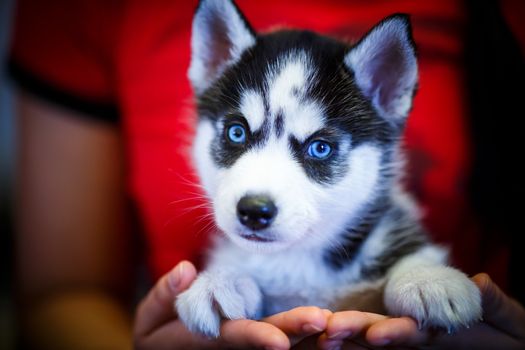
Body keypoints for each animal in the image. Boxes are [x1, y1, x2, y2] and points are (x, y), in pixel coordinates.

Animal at [175, 0, 478, 340]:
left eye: (320, 148)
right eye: (236, 132)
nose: (254, 211)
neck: (298, 259)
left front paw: (427, 279)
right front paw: (222, 281)